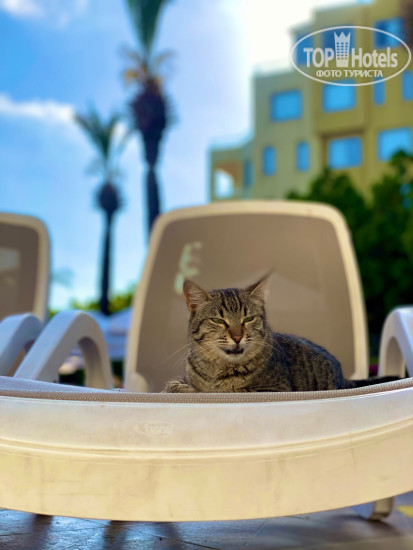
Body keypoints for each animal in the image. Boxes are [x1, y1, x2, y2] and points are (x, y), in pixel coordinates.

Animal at [164, 275, 400, 393]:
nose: (237, 336)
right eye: (219, 320)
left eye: (248, 319)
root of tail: (344, 379)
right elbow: (175, 384)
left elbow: (232, 391)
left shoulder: (275, 389)